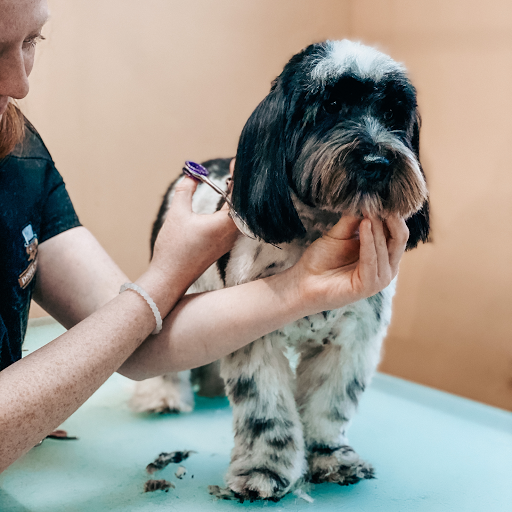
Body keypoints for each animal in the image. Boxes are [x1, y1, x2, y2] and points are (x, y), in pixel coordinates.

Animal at [132, 39, 428, 500]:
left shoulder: (351, 340)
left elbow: (329, 405)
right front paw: (264, 471)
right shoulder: (255, 339)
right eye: (331, 104)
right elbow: (266, 411)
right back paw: (165, 395)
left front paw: (331, 457)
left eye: (394, 113)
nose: (378, 160)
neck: (315, 229)